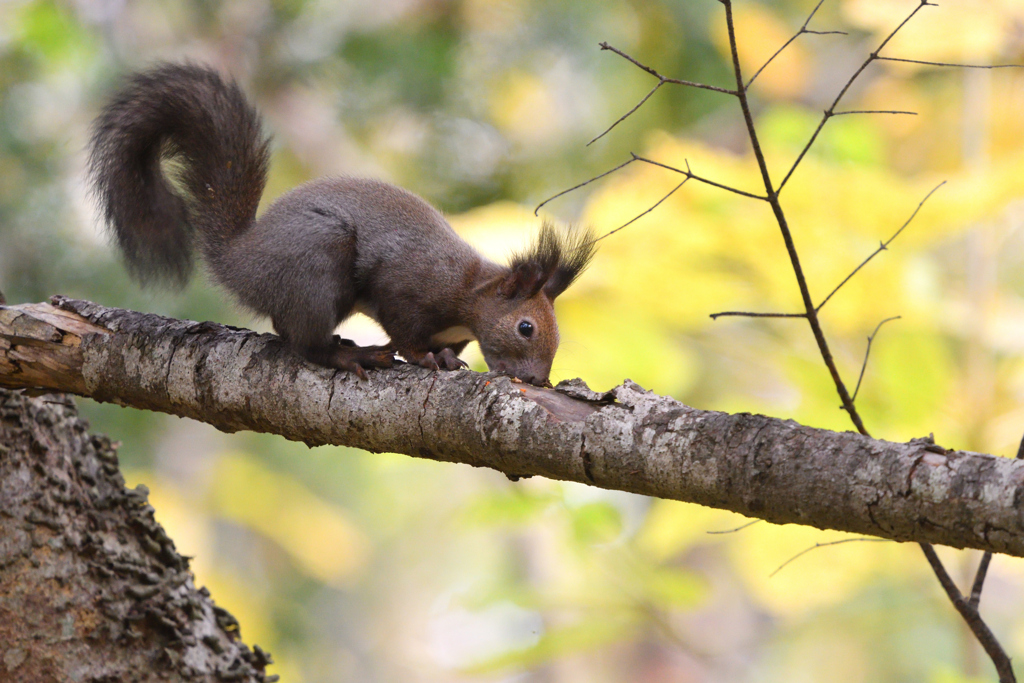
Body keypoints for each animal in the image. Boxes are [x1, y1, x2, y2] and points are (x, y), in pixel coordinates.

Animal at [91, 64, 598, 387]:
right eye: (526, 328)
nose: (538, 380)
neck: (468, 292)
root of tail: (240, 259)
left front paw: (448, 356)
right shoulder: (407, 285)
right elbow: (405, 329)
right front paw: (424, 357)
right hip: (318, 260)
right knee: (304, 344)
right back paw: (350, 353)